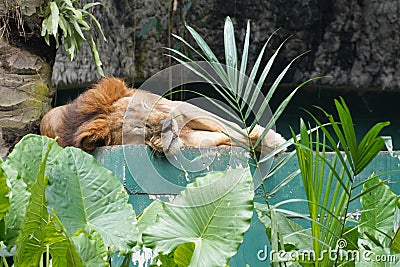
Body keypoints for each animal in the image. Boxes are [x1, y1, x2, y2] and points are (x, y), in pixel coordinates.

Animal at [39, 77, 286, 155]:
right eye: (136, 128)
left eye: (144, 106)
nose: (166, 125)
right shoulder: (190, 139)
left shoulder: (183, 110)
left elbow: (231, 129)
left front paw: (273, 141)